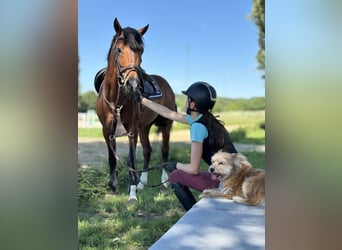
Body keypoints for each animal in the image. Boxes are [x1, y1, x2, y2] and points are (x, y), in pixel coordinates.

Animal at [95, 17, 178, 202]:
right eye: (119, 50)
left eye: (141, 51)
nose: (133, 85)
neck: (116, 100)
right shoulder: (107, 131)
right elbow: (112, 159)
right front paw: (112, 189)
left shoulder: (131, 130)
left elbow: (131, 160)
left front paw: (132, 193)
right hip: (144, 127)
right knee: (147, 151)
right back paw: (142, 183)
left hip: (166, 125)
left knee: (164, 151)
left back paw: (163, 181)